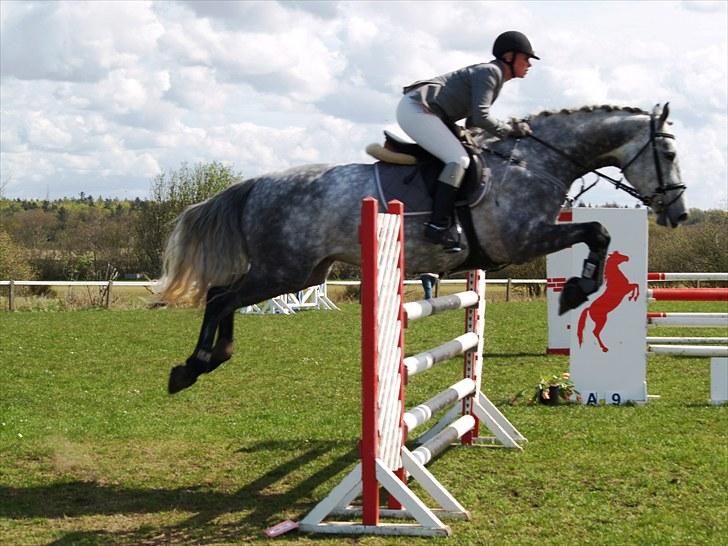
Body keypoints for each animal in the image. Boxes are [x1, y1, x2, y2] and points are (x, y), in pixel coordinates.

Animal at [161, 103, 688, 392]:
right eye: (668, 153)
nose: (678, 214)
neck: (533, 161)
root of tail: (257, 184)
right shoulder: (522, 239)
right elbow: (597, 231)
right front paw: (577, 290)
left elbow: (598, 233)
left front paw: (579, 287)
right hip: (283, 271)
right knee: (221, 298)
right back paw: (192, 367)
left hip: (303, 272)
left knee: (222, 296)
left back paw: (213, 358)